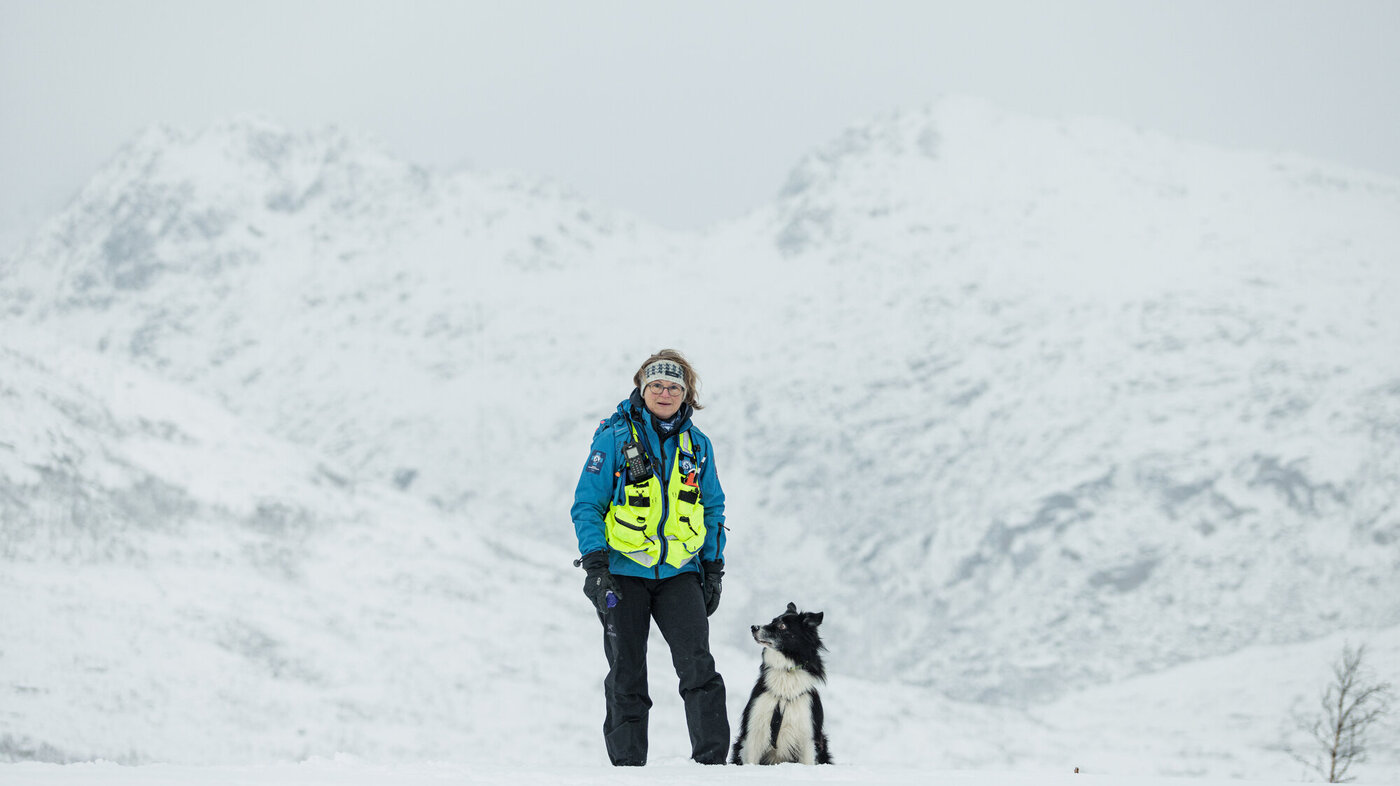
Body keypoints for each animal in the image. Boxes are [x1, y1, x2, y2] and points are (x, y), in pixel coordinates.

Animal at [733, 599, 828, 762]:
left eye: (782, 626)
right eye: (772, 621)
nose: (753, 627)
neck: (786, 671)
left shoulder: (808, 734)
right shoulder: (754, 728)